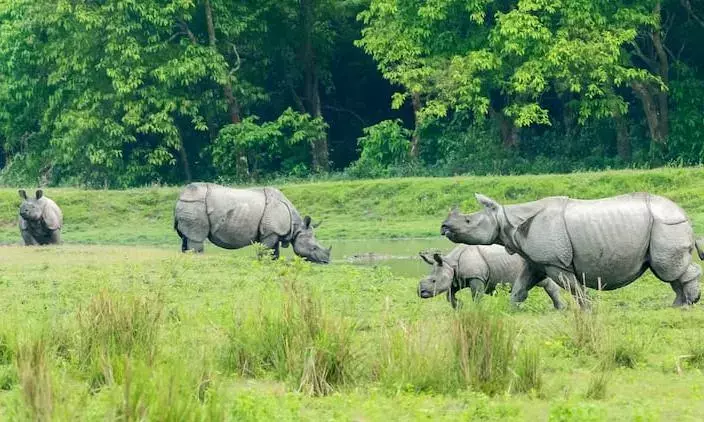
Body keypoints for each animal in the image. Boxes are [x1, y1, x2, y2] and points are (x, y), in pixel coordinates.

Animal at [174, 183, 331, 263]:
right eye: (314, 248)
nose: (326, 262)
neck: (296, 227)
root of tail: (180, 198)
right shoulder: (270, 232)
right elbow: (266, 249)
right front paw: (262, 262)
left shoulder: (273, 232)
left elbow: (274, 251)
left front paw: (273, 262)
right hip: (195, 205)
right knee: (196, 238)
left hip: (190, 205)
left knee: (185, 238)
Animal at [418, 244, 564, 309]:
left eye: (433, 281)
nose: (420, 292)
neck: (450, 263)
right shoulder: (457, 278)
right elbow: (449, 295)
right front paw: (459, 306)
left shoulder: (476, 277)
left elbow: (476, 295)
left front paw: (477, 309)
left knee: (546, 283)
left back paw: (559, 309)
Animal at [441, 193, 703, 307]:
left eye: (468, 221)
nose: (443, 227)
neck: (507, 219)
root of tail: (684, 214)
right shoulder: (538, 261)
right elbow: (520, 287)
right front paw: (510, 310)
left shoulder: (555, 261)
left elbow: (573, 287)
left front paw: (589, 309)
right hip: (663, 224)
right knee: (668, 271)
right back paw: (677, 305)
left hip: (666, 224)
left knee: (667, 269)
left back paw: (686, 304)